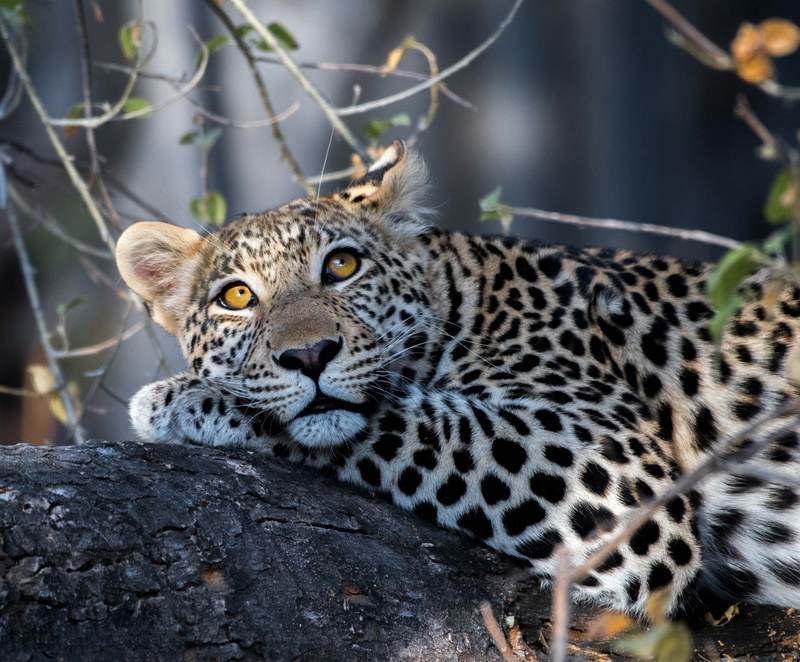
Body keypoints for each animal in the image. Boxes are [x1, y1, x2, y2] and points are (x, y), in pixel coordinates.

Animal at [116, 140, 800, 619]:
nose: (309, 355)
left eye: (342, 265)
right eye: (236, 297)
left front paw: (183, 399)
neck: (468, 294)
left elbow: (417, 417)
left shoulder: (617, 476)